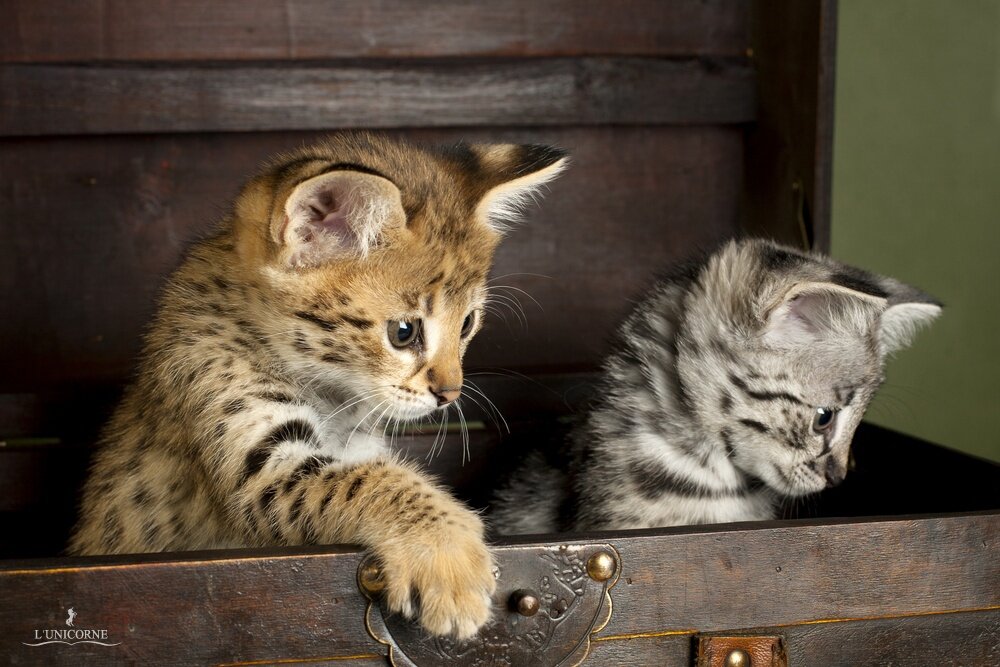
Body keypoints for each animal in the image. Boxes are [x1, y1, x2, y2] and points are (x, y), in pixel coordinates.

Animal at [70, 133, 568, 640]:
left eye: (467, 323)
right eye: (403, 332)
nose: (450, 394)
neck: (333, 397)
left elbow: (371, 471)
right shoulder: (261, 472)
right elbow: (370, 480)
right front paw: (449, 557)